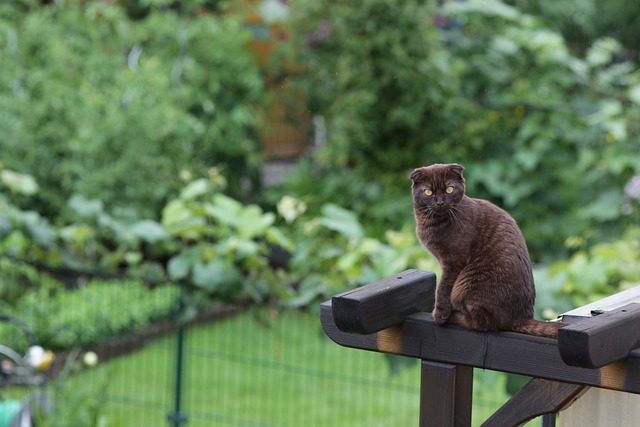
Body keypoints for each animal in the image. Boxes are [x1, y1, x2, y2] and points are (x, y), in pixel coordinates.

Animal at [410, 162, 564, 340]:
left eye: (449, 189)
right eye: (428, 192)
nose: (440, 202)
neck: (432, 222)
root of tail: (522, 316)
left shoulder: (453, 261)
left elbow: (443, 287)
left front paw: (440, 314)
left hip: (467, 287)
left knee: (483, 324)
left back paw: (455, 316)